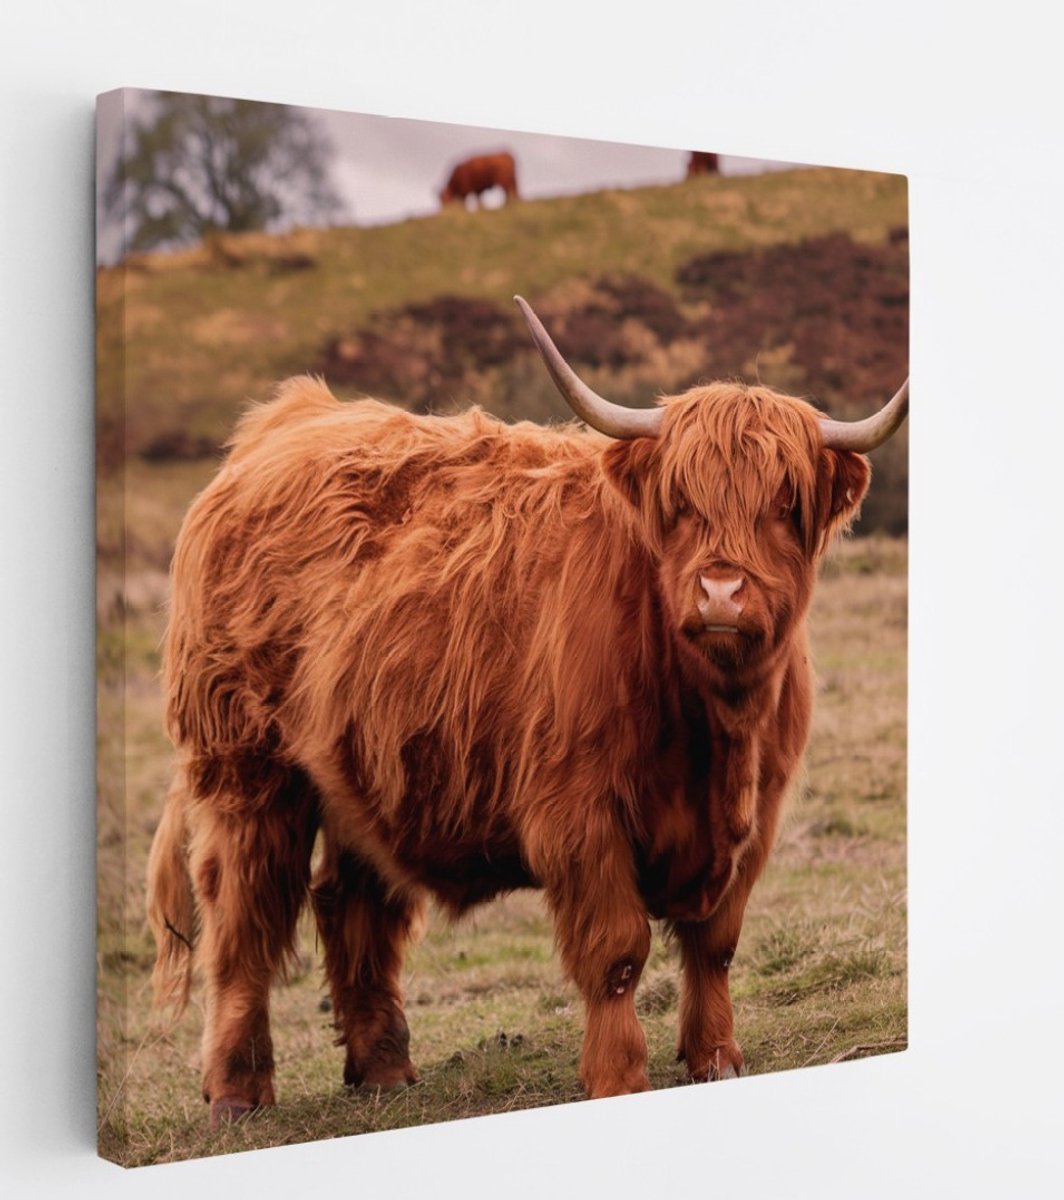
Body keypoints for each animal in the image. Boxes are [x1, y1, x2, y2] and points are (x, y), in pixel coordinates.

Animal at [147, 296, 908, 1127]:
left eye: (785, 504)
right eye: (679, 504)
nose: (721, 593)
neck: (715, 725)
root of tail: (288, 419)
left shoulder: (755, 819)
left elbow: (714, 944)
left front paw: (716, 1059)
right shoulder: (578, 814)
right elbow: (616, 952)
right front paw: (618, 1077)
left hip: (361, 767)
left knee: (353, 902)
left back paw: (383, 1069)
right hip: (244, 768)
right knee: (242, 918)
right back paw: (236, 1092)